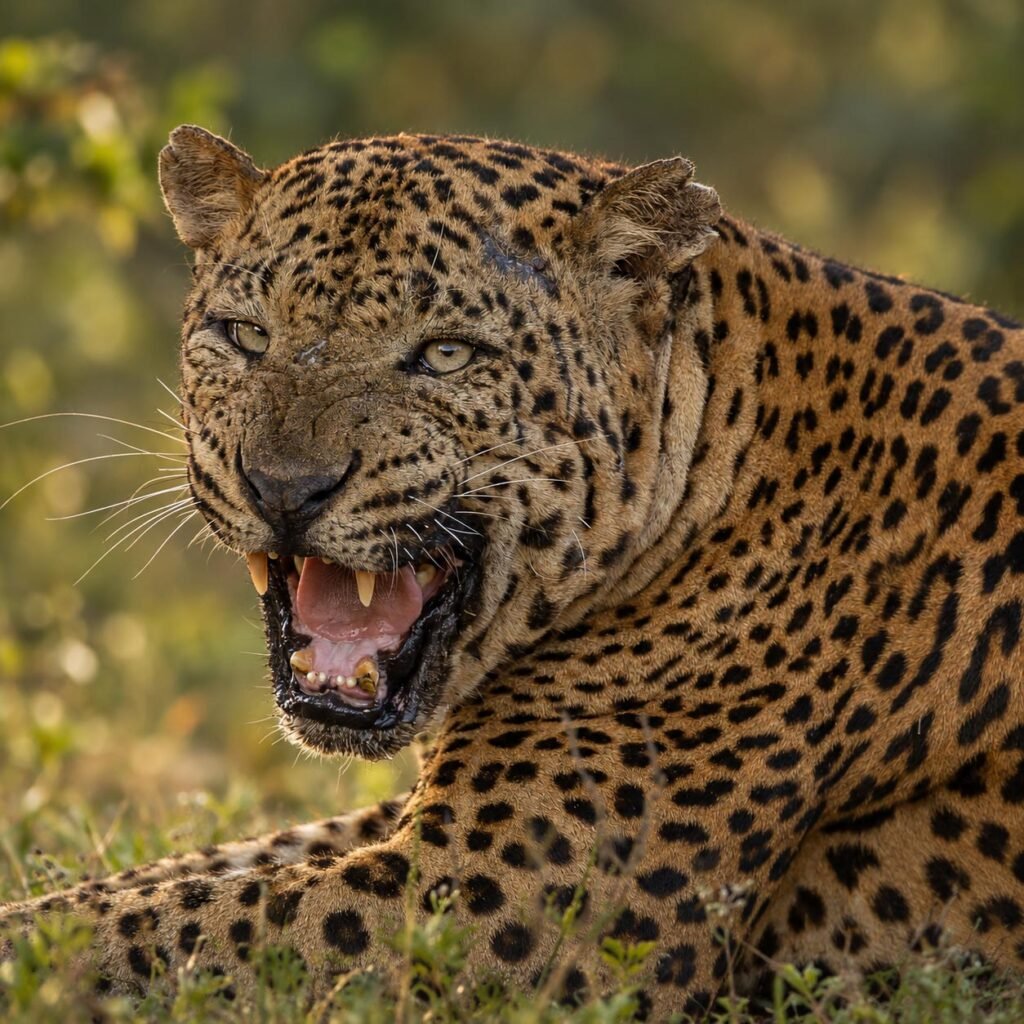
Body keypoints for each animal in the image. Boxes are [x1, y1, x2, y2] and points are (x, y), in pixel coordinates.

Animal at [3, 124, 1024, 1019]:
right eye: (245, 335)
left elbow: (158, 926)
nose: (284, 487)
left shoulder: (496, 899)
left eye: (447, 355)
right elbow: (172, 876)